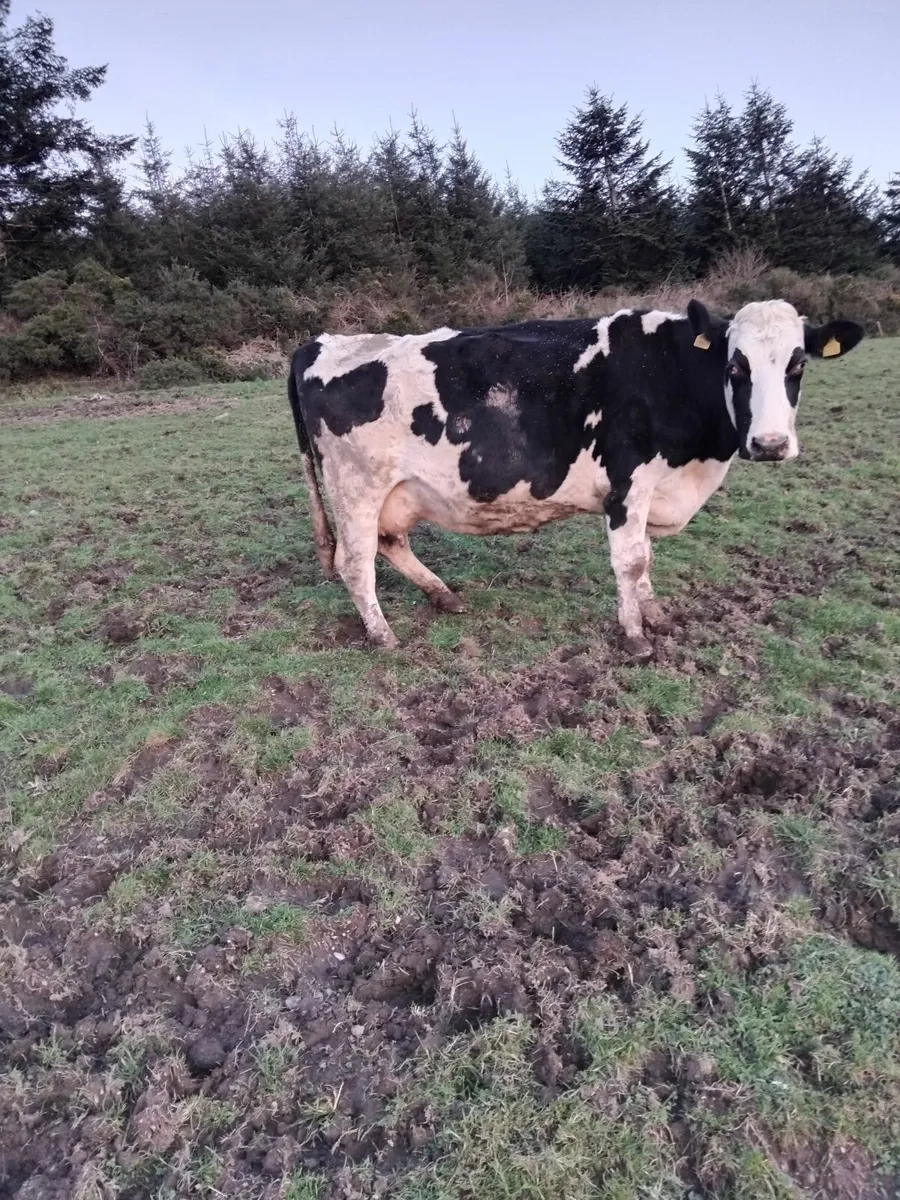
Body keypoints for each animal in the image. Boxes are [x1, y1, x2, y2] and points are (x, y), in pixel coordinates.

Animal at [287, 299, 863, 659]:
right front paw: (635, 637)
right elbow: (630, 561)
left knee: (391, 543)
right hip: (355, 486)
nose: (770, 444)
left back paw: (443, 595)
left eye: (797, 366)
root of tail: (320, 343)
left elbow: (645, 557)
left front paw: (655, 615)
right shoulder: (628, 484)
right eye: (735, 368)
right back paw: (382, 634)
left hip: (394, 492)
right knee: (356, 561)